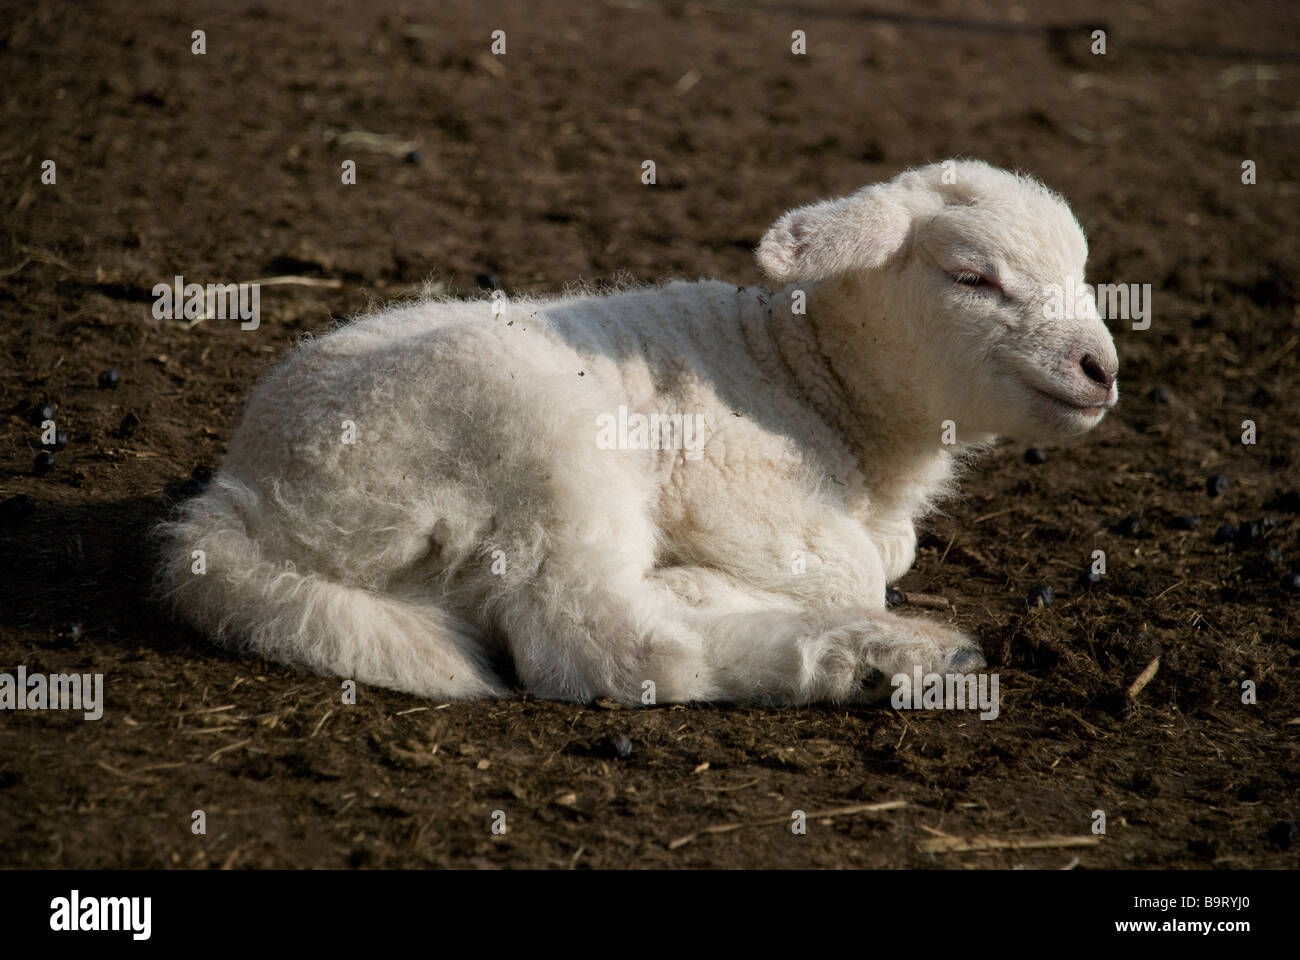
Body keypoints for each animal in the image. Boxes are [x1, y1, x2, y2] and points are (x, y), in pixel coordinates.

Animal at [157, 158, 1123, 702]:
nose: (1101, 370)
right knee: (607, 645)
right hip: (538, 440)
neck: (810, 378)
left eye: (1083, 271)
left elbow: (886, 556)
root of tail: (241, 505)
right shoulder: (734, 488)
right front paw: (714, 583)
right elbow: (853, 568)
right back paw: (880, 658)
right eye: (973, 277)